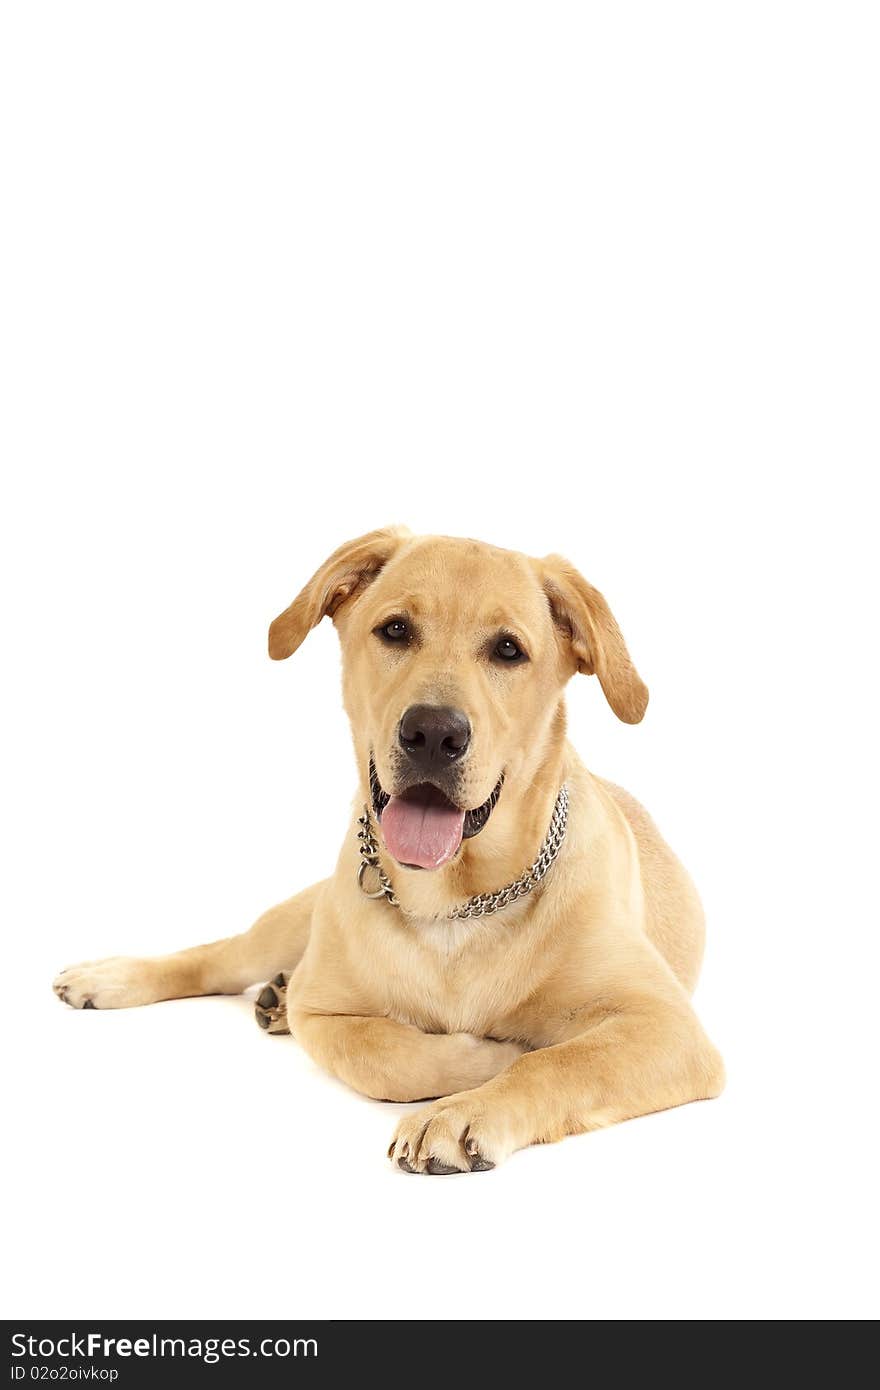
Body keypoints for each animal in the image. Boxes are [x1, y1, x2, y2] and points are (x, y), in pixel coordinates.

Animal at [56, 530, 728, 1173]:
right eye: (396, 630)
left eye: (508, 649)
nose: (433, 732)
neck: (456, 904)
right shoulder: (325, 1014)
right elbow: (387, 1055)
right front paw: (481, 1059)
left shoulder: (668, 1028)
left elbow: (554, 1063)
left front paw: (468, 1109)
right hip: (294, 921)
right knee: (218, 958)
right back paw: (118, 978)